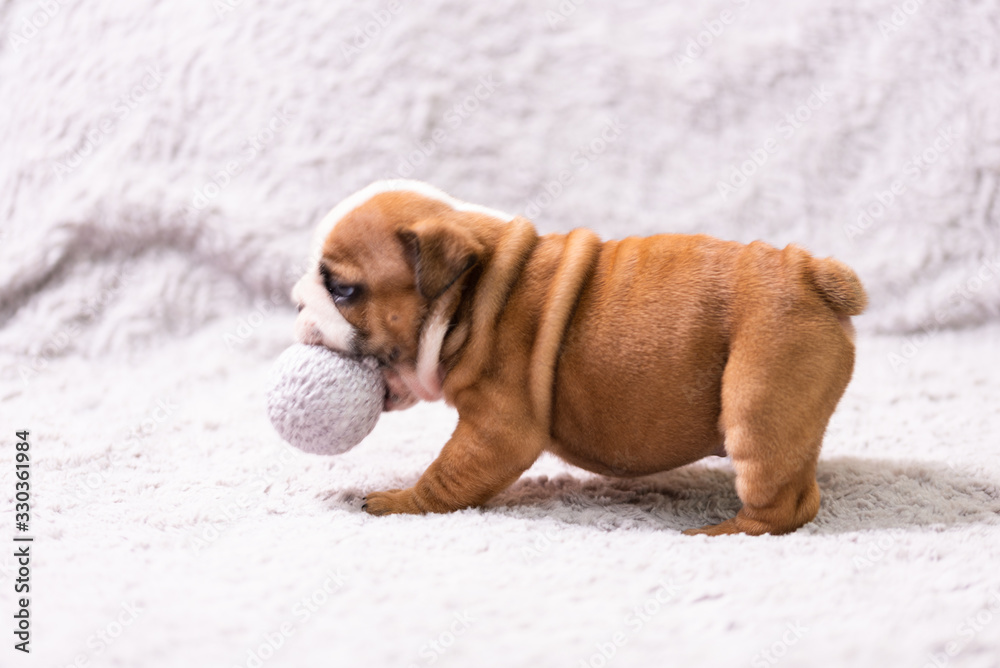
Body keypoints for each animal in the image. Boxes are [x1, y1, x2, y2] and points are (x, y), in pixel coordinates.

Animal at [292, 180, 868, 536]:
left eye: (342, 289)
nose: (296, 300)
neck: (473, 293)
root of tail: (812, 273)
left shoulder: (497, 431)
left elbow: (446, 477)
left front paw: (399, 501)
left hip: (758, 399)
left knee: (784, 505)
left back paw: (720, 532)